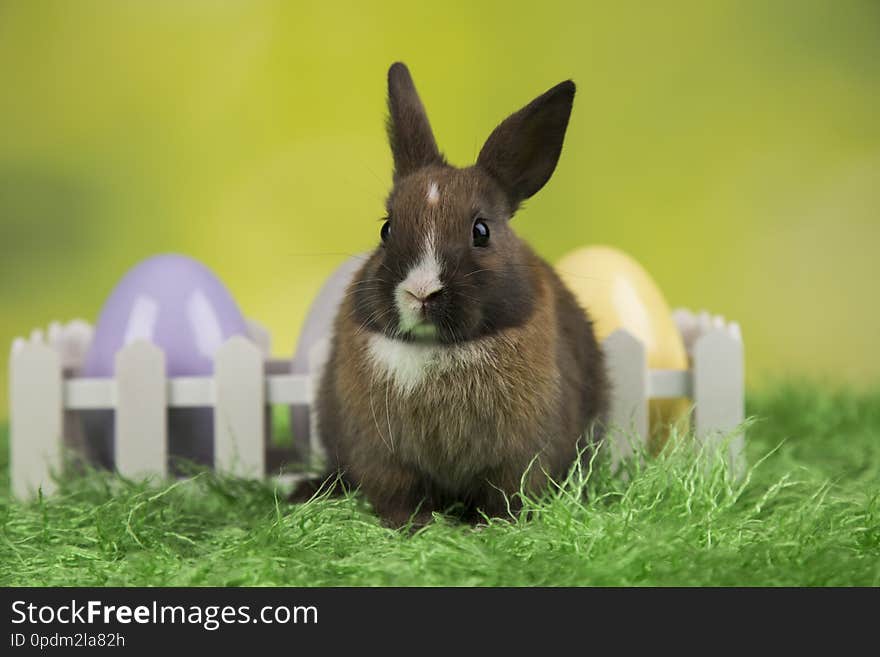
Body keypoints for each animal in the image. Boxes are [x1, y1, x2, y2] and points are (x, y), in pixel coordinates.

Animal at [300, 60, 608, 524]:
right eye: (386, 229)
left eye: (481, 231)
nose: (421, 292)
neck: (437, 350)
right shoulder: (382, 457)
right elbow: (399, 496)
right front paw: (413, 528)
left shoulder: (520, 458)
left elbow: (506, 497)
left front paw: (490, 528)